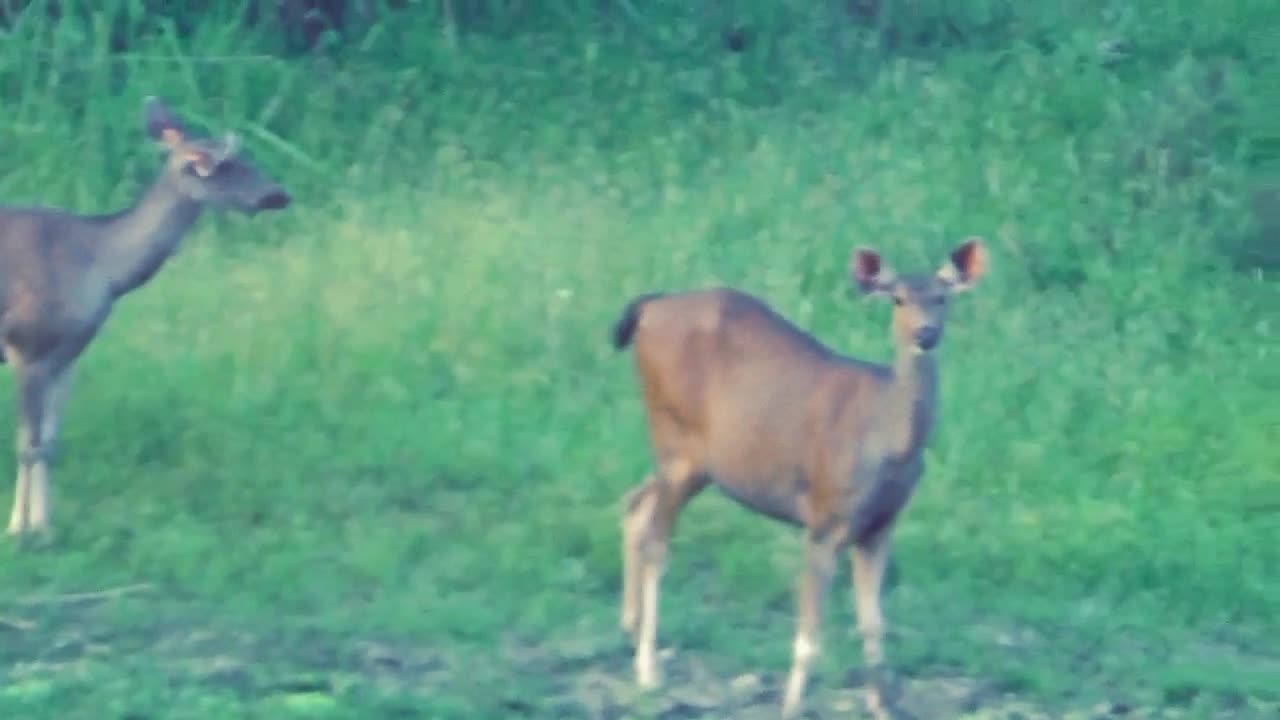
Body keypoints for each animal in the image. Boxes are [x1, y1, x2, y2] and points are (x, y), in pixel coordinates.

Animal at [1, 95, 291, 535]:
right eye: (228, 166)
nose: (280, 194)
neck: (102, 268)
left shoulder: (69, 353)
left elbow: (49, 444)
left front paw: (46, 527)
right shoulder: (27, 346)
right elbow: (27, 446)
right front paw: (19, 529)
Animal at [614, 238, 983, 712]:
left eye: (942, 298)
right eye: (898, 298)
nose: (926, 334)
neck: (890, 444)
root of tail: (651, 306)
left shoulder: (880, 526)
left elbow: (873, 623)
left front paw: (882, 706)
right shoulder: (824, 517)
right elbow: (809, 636)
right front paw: (791, 706)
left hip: (697, 463)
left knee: (634, 503)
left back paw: (628, 626)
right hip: (675, 441)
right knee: (657, 542)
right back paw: (647, 669)